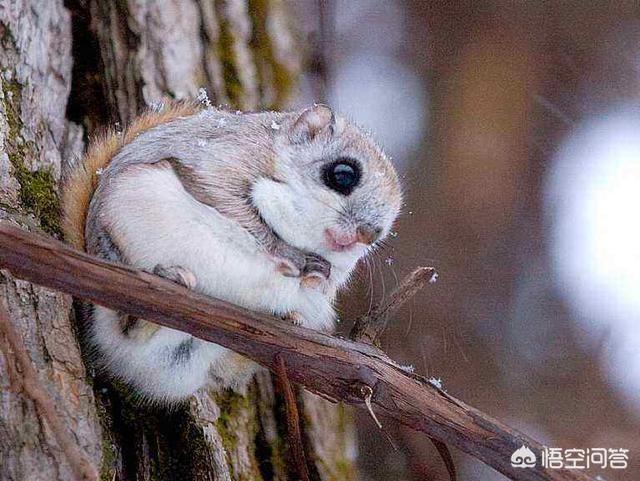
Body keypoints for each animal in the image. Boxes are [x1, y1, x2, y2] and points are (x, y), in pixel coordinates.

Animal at [60, 101, 400, 402]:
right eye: (343, 174)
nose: (370, 234)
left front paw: (316, 277)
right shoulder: (222, 163)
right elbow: (237, 210)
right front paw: (290, 255)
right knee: (127, 326)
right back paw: (166, 284)